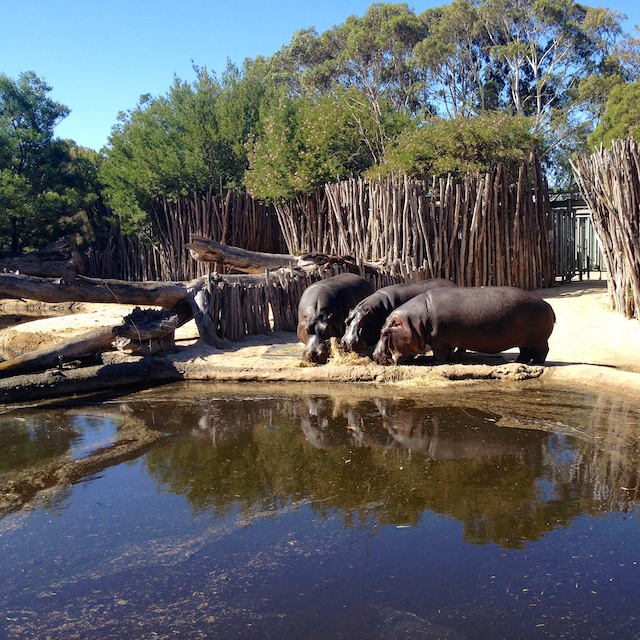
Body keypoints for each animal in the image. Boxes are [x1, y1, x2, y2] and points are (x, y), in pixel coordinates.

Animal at [370, 284, 556, 364]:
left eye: (383, 333)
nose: (373, 355)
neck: (414, 322)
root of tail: (548, 305)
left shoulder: (439, 339)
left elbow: (440, 354)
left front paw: (438, 363)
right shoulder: (448, 339)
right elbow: (449, 351)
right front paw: (451, 359)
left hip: (538, 340)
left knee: (543, 351)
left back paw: (535, 363)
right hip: (526, 340)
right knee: (525, 350)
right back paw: (521, 361)